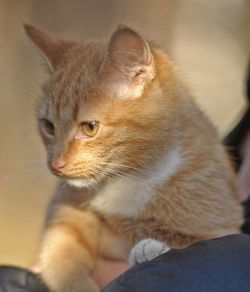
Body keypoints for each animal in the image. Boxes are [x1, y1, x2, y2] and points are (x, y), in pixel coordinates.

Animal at [23, 23, 242, 292]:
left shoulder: (220, 227)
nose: (55, 165)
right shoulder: (66, 212)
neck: (131, 180)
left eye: (90, 128)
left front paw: (150, 249)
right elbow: (62, 257)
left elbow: (194, 243)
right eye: (48, 126)